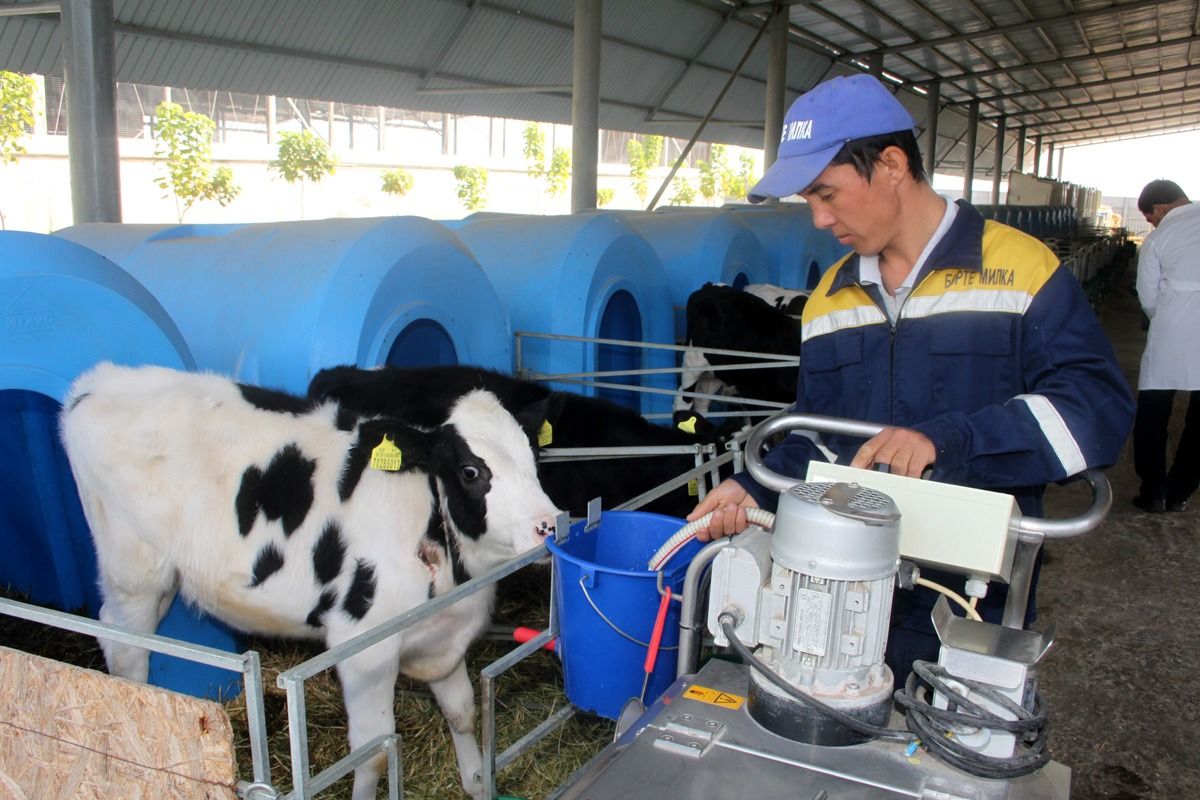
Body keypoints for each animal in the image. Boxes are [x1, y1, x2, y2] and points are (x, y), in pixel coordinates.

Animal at [59, 364, 556, 800]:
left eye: (535, 458)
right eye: (471, 471)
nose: (549, 524)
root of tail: (98, 382)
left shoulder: (443, 634)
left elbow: (462, 712)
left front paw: (475, 780)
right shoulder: (363, 647)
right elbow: (373, 753)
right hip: (134, 573)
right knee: (124, 647)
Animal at [676, 281, 806, 419]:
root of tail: (710, 286)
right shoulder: (760, 401)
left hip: (715, 371)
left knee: (702, 400)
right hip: (692, 362)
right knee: (684, 398)